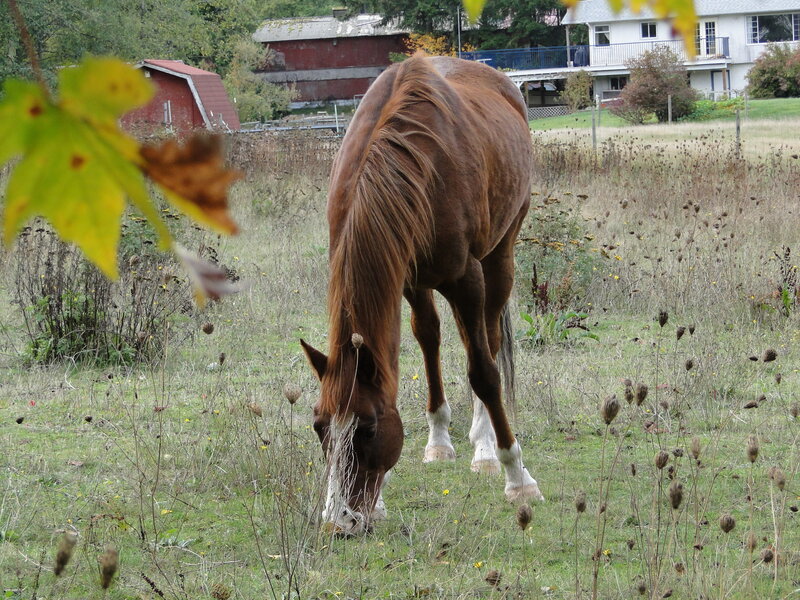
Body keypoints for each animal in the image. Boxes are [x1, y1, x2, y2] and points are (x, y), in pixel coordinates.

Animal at [301, 54, 543, 535]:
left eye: (368, 429)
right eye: (319, 427)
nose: (342, 521)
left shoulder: (466, 278)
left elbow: (484, 373)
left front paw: (517, 476)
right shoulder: (405, 277)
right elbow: (422, 342)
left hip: (499, 255)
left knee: (487, 340)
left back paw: (484, 446)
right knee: (430, 336)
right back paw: (442, 440)